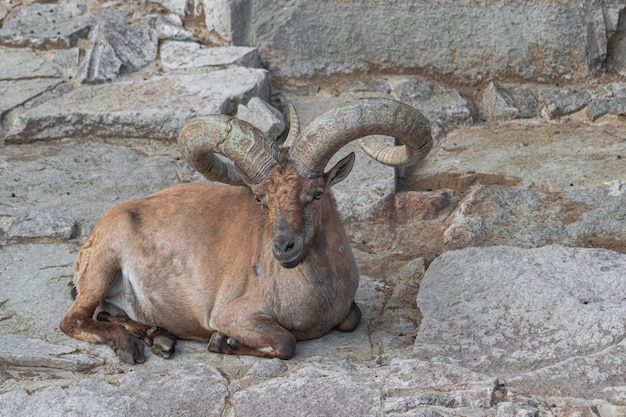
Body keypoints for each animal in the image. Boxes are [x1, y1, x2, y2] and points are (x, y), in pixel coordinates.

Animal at [59, 96, 428, 360]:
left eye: (317, 193)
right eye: (261, 198)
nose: (284, 248)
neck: (316, 295)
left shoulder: (345, 310)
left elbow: (352, 318)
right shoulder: (233, 314)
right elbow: (285, 342)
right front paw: (222, 343)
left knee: (105, 314)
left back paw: (160, 338)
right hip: (104, 263)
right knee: (74, 319)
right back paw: (132, 347)